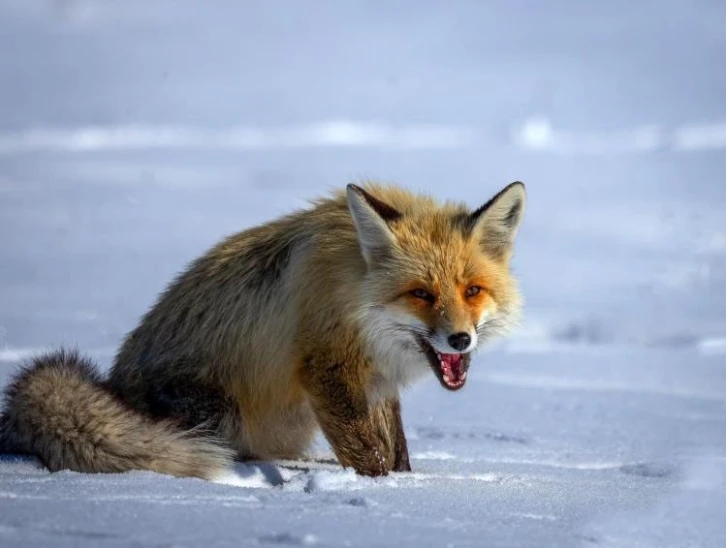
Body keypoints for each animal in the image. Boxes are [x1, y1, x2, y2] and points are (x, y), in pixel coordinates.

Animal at [0, 181, 528, 480]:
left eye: (472, 290)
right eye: (421, 294)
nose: (460, 339)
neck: (355, 297)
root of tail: (112, 385)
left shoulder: (377, 382)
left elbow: (394, 449)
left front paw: (405, 482)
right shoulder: (325, 368)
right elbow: (369, 454)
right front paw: (384, 489)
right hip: (221, 412)